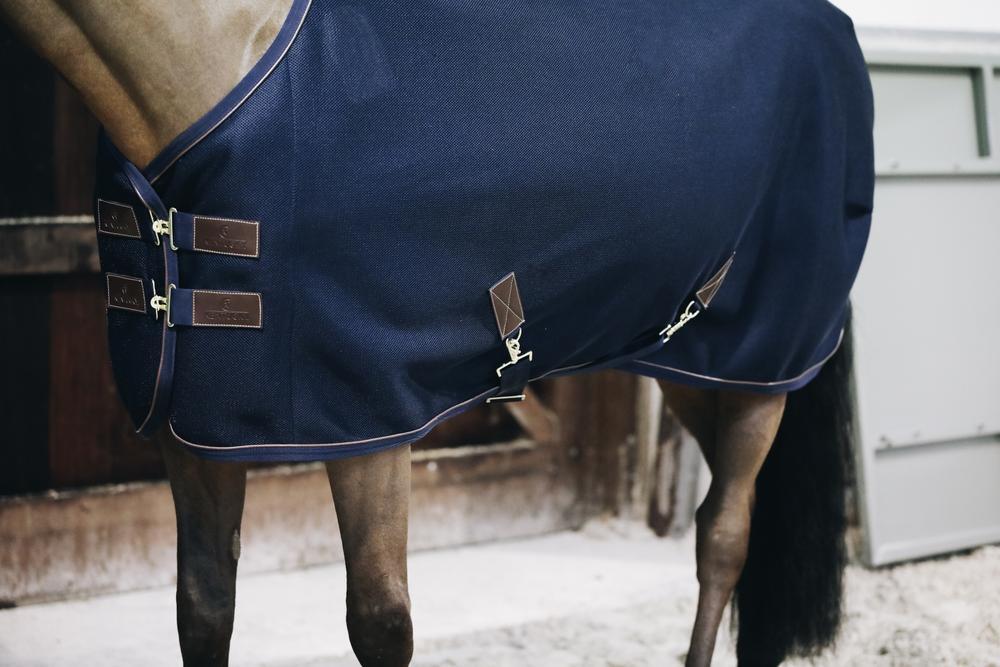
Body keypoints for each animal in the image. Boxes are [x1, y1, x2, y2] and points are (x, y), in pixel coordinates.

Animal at [1, 1, 873, 665]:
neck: (230, 62)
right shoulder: (192, 432)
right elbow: (205, 607)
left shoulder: (372, 423)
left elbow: (381, 622)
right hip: (687, 363)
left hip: (763, 364)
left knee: (727, 533)